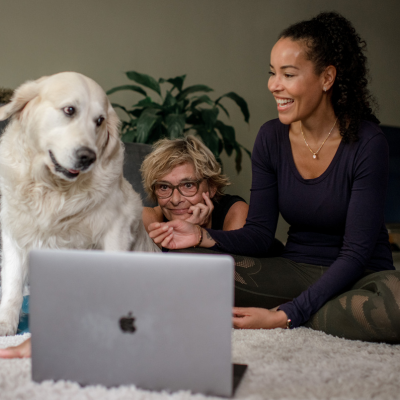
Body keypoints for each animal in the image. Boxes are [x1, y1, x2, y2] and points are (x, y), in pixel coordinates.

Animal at [0, 72, 159, 338]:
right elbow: (12, 284)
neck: (54, 189)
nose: (88, 157)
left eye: (100, 121)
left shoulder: (116, 228)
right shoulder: (15, 230)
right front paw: (5, 325)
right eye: (70, 110)